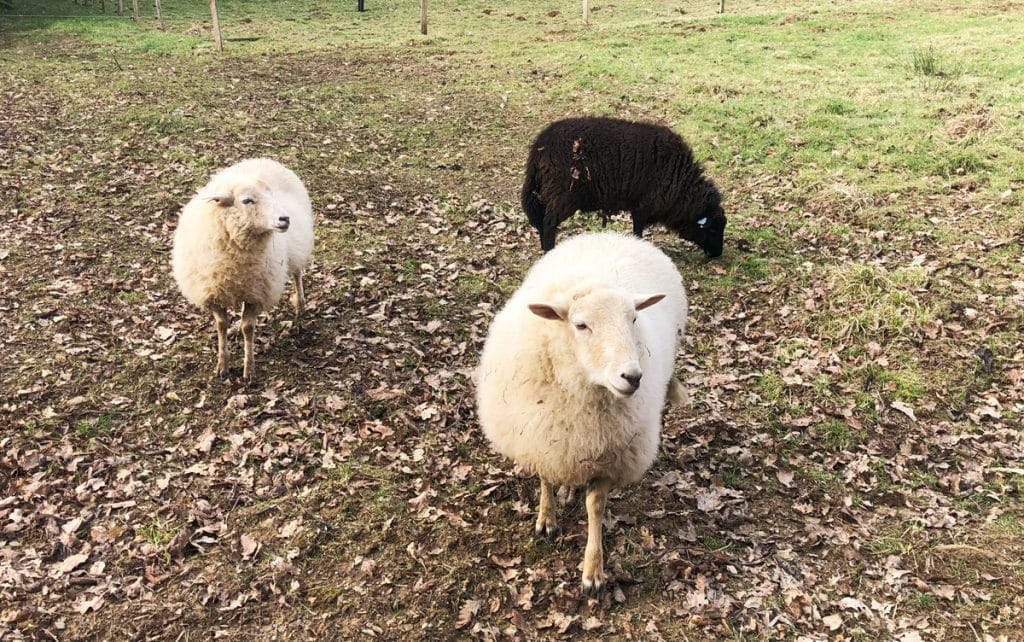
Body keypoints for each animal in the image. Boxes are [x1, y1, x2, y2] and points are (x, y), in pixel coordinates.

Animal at [171, 158, 314, 383]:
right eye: (247, 200)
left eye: (271, 195)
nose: (285, 219)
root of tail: (264, 159)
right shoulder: (214, 293)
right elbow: (221, 324)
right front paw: (222, 365)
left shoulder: (256, 294)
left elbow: (249, 328)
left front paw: (249, 370)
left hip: (297, 248)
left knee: (297, 273)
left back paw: (300, 304)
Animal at [476, 231, 688, 594]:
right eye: (581, 325)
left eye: (633, 319)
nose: (633, 377)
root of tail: (614, 235)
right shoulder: (539, 437)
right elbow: (545, 479)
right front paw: (546, 518)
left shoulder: (608, 457)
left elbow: (595, 506)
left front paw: (593, 570)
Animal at [521, 116, 726, 256]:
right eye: (712, 229)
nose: (718, 255)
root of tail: (540, 145)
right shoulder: (643, 206)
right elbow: (638, 230)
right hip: (563, 194)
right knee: (548, 224)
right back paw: (549, 251)